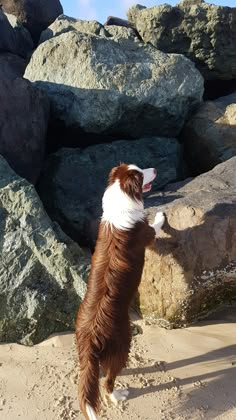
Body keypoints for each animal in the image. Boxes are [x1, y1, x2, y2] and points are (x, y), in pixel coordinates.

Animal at [75, 164, 164, 420]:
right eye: (142, 174)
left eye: (140, 168)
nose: (155, 168)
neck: (121, 196)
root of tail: (91, 338)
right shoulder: (147, 235)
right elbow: (155, 228)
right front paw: (161, 216)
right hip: (122, 344)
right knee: (108, 381)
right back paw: (118, 394)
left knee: (93, 375)